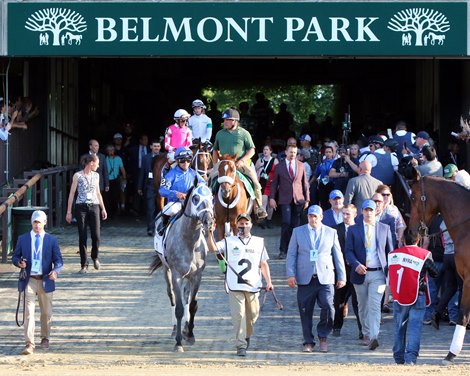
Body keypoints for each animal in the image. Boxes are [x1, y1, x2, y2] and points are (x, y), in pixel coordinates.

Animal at [150, 181, 214, 352]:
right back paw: (174, 329)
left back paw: (185, 328)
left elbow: (192, 305)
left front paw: (190, 334)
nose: (209, 220)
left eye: (212, 197)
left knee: (186, 297)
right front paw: (178, 342)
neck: (189, 241)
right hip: (167, 271)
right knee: (172, 296)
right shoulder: (177, 275)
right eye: (196, 198)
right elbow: (179, 308)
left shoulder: (197, 276)